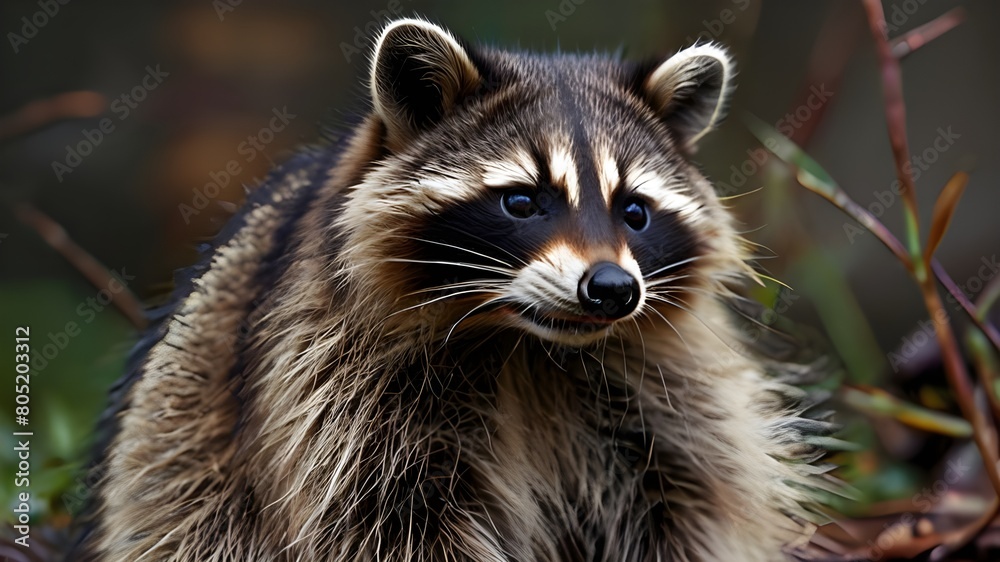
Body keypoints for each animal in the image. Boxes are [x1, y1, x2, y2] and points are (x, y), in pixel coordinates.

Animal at [78, 17, 832, 560]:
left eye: (635, 212)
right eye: (522, 201)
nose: (613, 288)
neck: (525, 344)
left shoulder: (665, 391)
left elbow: (688, 500)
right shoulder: (336, 392)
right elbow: (384, 522)